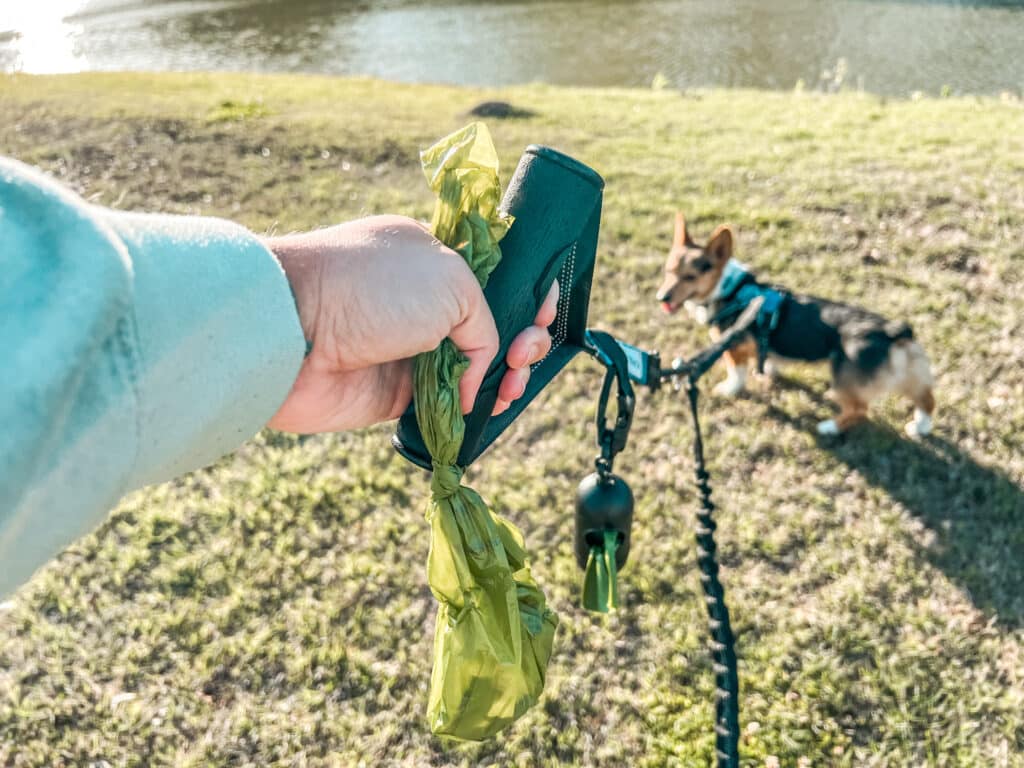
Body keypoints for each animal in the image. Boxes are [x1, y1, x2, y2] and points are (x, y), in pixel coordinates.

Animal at [655, 211, 937, 438]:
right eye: (668, 271)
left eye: (690, 277)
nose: (662, 298)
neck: (731, 290)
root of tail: (892, 331)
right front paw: (768, 370)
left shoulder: (732, 349)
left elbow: (736, 374)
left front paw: (729, 389)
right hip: (907, 373)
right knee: (927, 399)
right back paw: (920, 427)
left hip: (844, 381)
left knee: (859, 410)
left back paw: (829, 427)